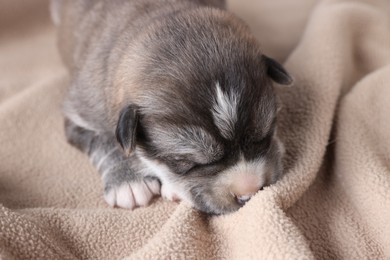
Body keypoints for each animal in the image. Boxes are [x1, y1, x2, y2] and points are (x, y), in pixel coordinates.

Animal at [50, 0, 290, 214]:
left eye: (265, 136)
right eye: (189, 163)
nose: (250, 193)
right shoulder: (79, 113)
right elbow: (105, 143)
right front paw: (129, 183)